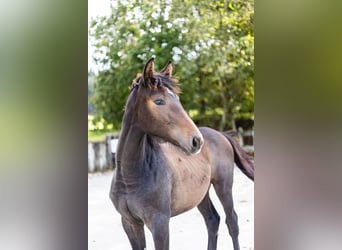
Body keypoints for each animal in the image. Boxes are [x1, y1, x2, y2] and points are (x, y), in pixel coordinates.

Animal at [110, 57, 254, 249]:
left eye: (177, 98)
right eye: (159, 101)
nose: (196, 140)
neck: (131, 176)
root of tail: (220, 134)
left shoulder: (160, 224)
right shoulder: (130, 223)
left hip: (223, 186)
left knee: (232, 222)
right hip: (201, 194)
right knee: (212, 220)